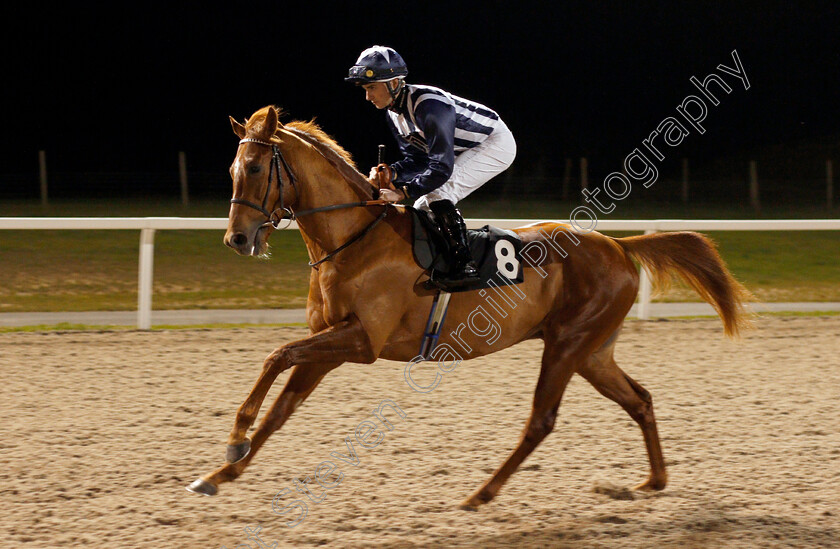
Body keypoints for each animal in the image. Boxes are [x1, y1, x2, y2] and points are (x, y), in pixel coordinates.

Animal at [187, 105, 752, 508]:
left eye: (255, 167)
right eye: (231, 168)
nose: (237, 239)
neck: (353, 238)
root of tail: (619, 245)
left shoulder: (361, 341)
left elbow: (275, 355)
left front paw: (235, 434)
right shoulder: (328, 344)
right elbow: (281, 407)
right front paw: (222, 470)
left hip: (568, 345)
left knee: (541, 421)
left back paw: (481, 493)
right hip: (593, 352)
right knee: (639, 400)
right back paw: (652, 480)